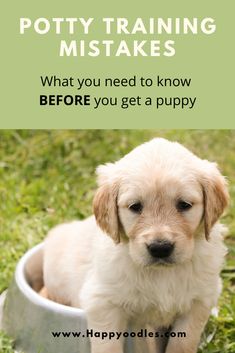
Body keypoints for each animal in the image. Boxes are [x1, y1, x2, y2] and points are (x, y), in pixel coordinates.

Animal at [41, 138, 228, 352]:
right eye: (135, 206)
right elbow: (108, 346)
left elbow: (183, 342)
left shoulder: (200, 300)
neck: (162, 274)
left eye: (184, 204)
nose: (160, 248)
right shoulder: (102, 301)